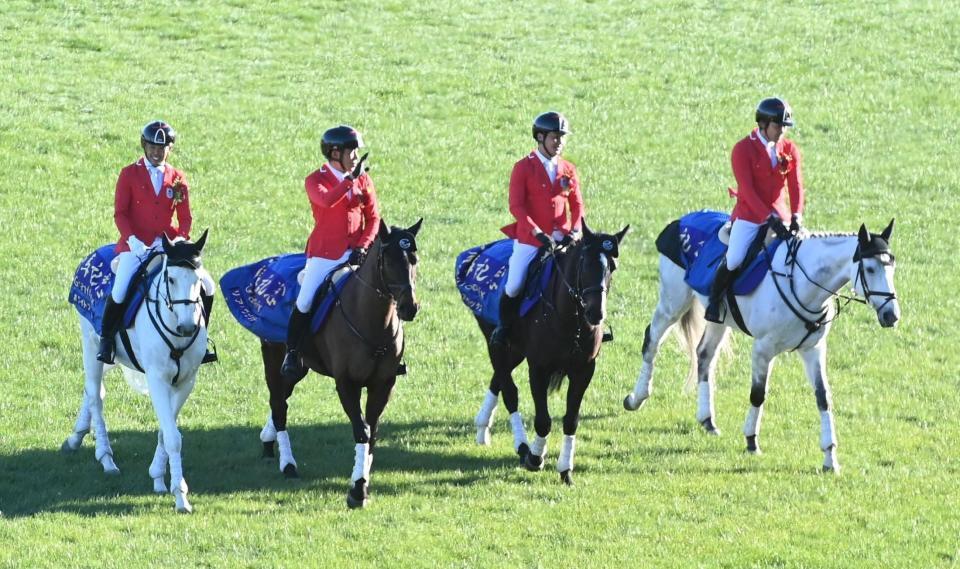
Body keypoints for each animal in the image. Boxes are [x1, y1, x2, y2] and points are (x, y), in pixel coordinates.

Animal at [62, 229, 211, 512]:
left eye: (198, 280)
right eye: (171, 278)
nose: (188, 327)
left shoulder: (186, 381)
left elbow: (166, 429)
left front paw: (159, 477)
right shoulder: (157, 379)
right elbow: (173, 437)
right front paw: (180, 496)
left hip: (111, 358)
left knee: (93, 391)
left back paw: (75, 438)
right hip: (91, 343)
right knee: (95, 395)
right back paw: (106, 459)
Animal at [258, 220, 420, 508]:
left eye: (415, 259)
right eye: (389, 260)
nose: (409, 308)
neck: (373, 322)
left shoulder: (383, 384)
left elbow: (372, 433)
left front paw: (362, 485)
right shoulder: (347, 383)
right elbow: (361, 430)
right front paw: (357, 489)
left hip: (299, 368)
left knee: (282, 400)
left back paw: (268, 440)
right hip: (275, 359)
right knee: (278, 405)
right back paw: (288, 464)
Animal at [470, 221, 632, 484]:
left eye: (613, 267)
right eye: (585, 264)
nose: (596, 314)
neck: (572, 319)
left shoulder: (584, 370)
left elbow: (571, 420)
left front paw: (566, 469)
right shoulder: (538, 367)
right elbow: (543, 420)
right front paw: (535, 458)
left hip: (515, 351)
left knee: (498, 381)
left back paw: (483, 427)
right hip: (496, 344)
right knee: (509, 391)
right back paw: (521, 446)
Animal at [624, 217, 900, 470]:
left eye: (892, 267)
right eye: (870, 269)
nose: (891, 316)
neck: (802, 284)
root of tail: (680, 221)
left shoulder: (813, 349)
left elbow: (823, 397)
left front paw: (829, 457)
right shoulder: (763, 350)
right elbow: (758, 394)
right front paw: (751, 440)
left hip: (717, 319)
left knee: (704, 355)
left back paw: (707, 419)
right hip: (673, 302)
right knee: (652, 341)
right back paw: (636, 398)